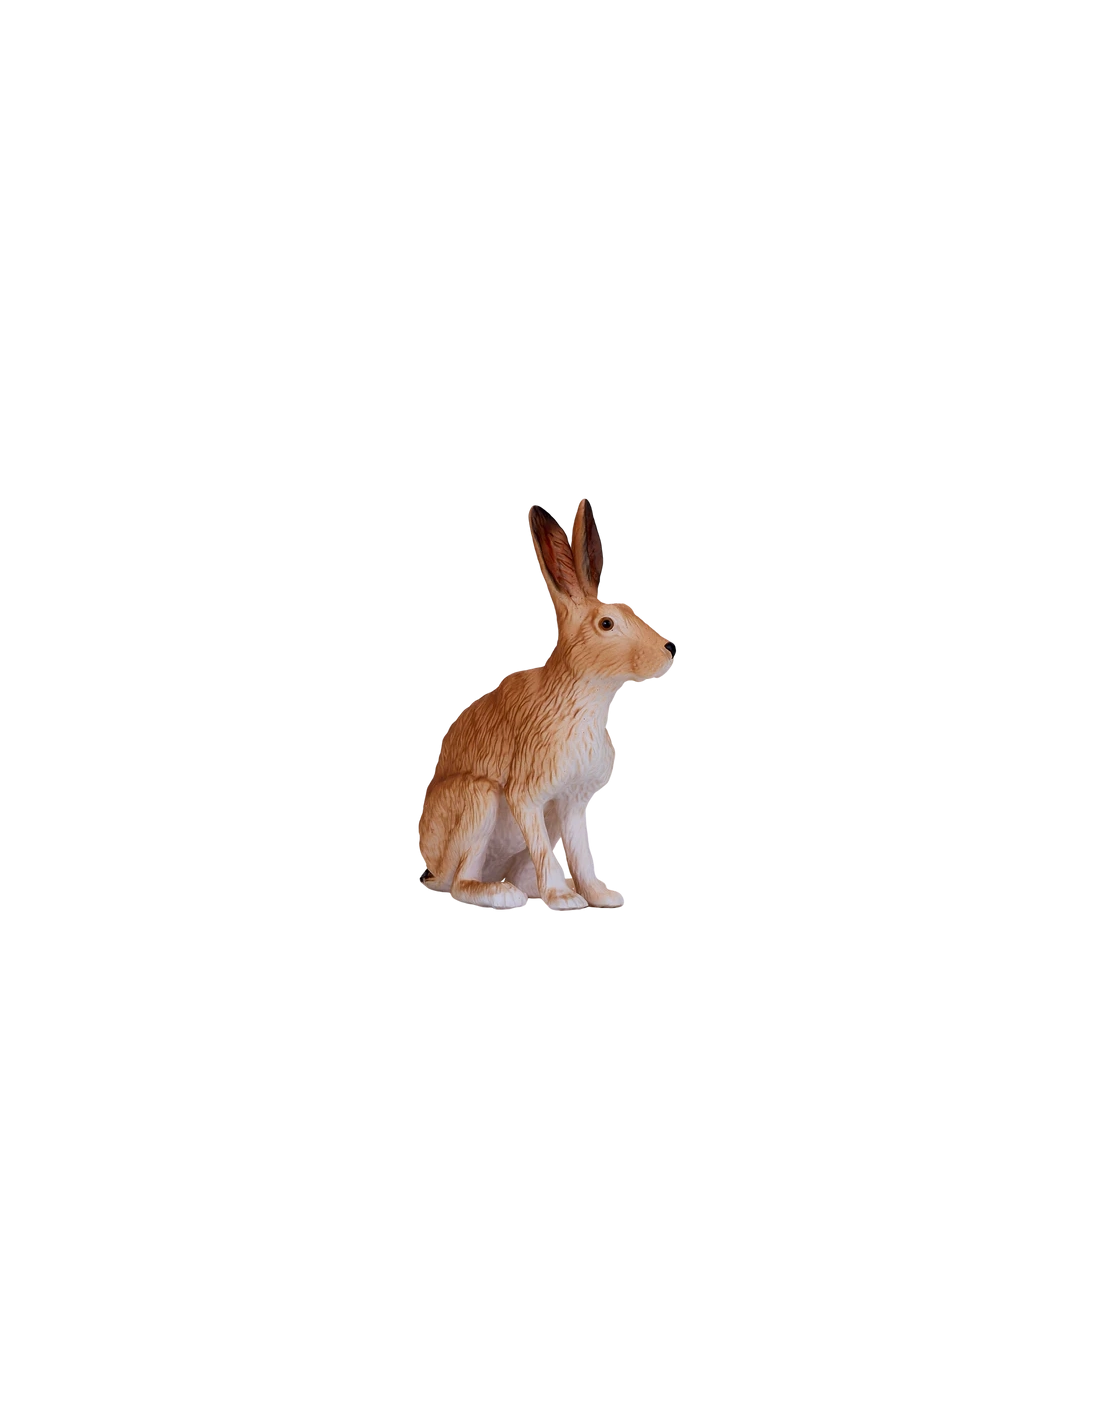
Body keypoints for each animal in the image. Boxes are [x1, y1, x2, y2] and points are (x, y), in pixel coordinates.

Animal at [417, 497, 678, 910]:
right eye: (607, 624)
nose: (668, 648)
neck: (582, 697)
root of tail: (424, 854)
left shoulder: (570, 803)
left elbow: (579, 852)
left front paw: (599, 896)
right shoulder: (525, 795)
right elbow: (541, 847)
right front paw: (562, 897)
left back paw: (531, 891)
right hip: (478, 799)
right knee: (457, 883)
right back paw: (504, 894)